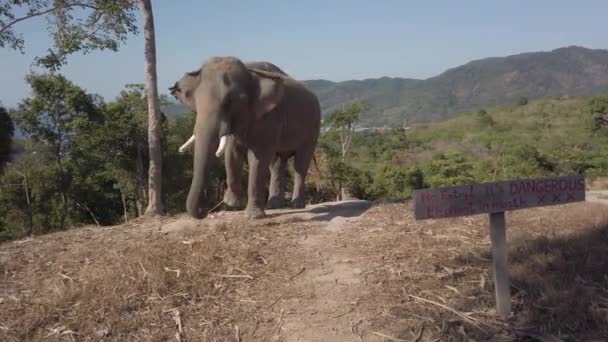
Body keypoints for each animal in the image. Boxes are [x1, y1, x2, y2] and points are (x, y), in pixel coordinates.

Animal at [170, 56, 324, 219]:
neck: (249, 71)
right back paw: (274, 205)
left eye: (230, 102)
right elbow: (232, 153)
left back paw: (296, 205)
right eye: (196, 101)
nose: (204, 211)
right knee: (277, 163)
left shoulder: (269, 116)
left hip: (313, 128)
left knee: (300, 163)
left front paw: (253, 216)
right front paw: (233, 203)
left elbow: (258, 158)